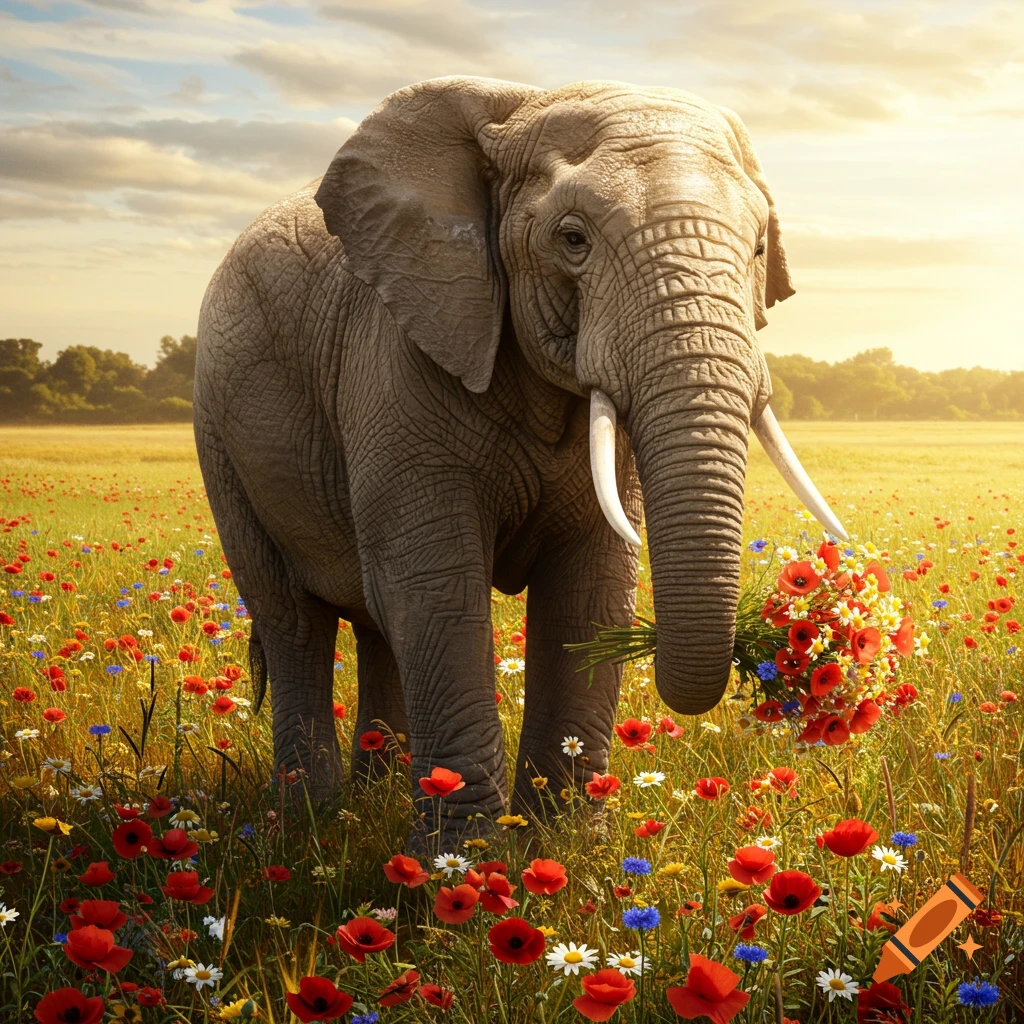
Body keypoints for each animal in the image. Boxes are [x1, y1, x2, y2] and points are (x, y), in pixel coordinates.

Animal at [193, 76, 845, 849]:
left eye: (758, 246)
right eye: (572, 240)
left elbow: (590, 590)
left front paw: (567, 849)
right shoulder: (397, 356)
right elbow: (435, 587)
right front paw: (465, 865)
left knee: (375, 625)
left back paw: (370, 799)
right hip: (217, 431)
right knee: (292, 618)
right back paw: (307, 825)